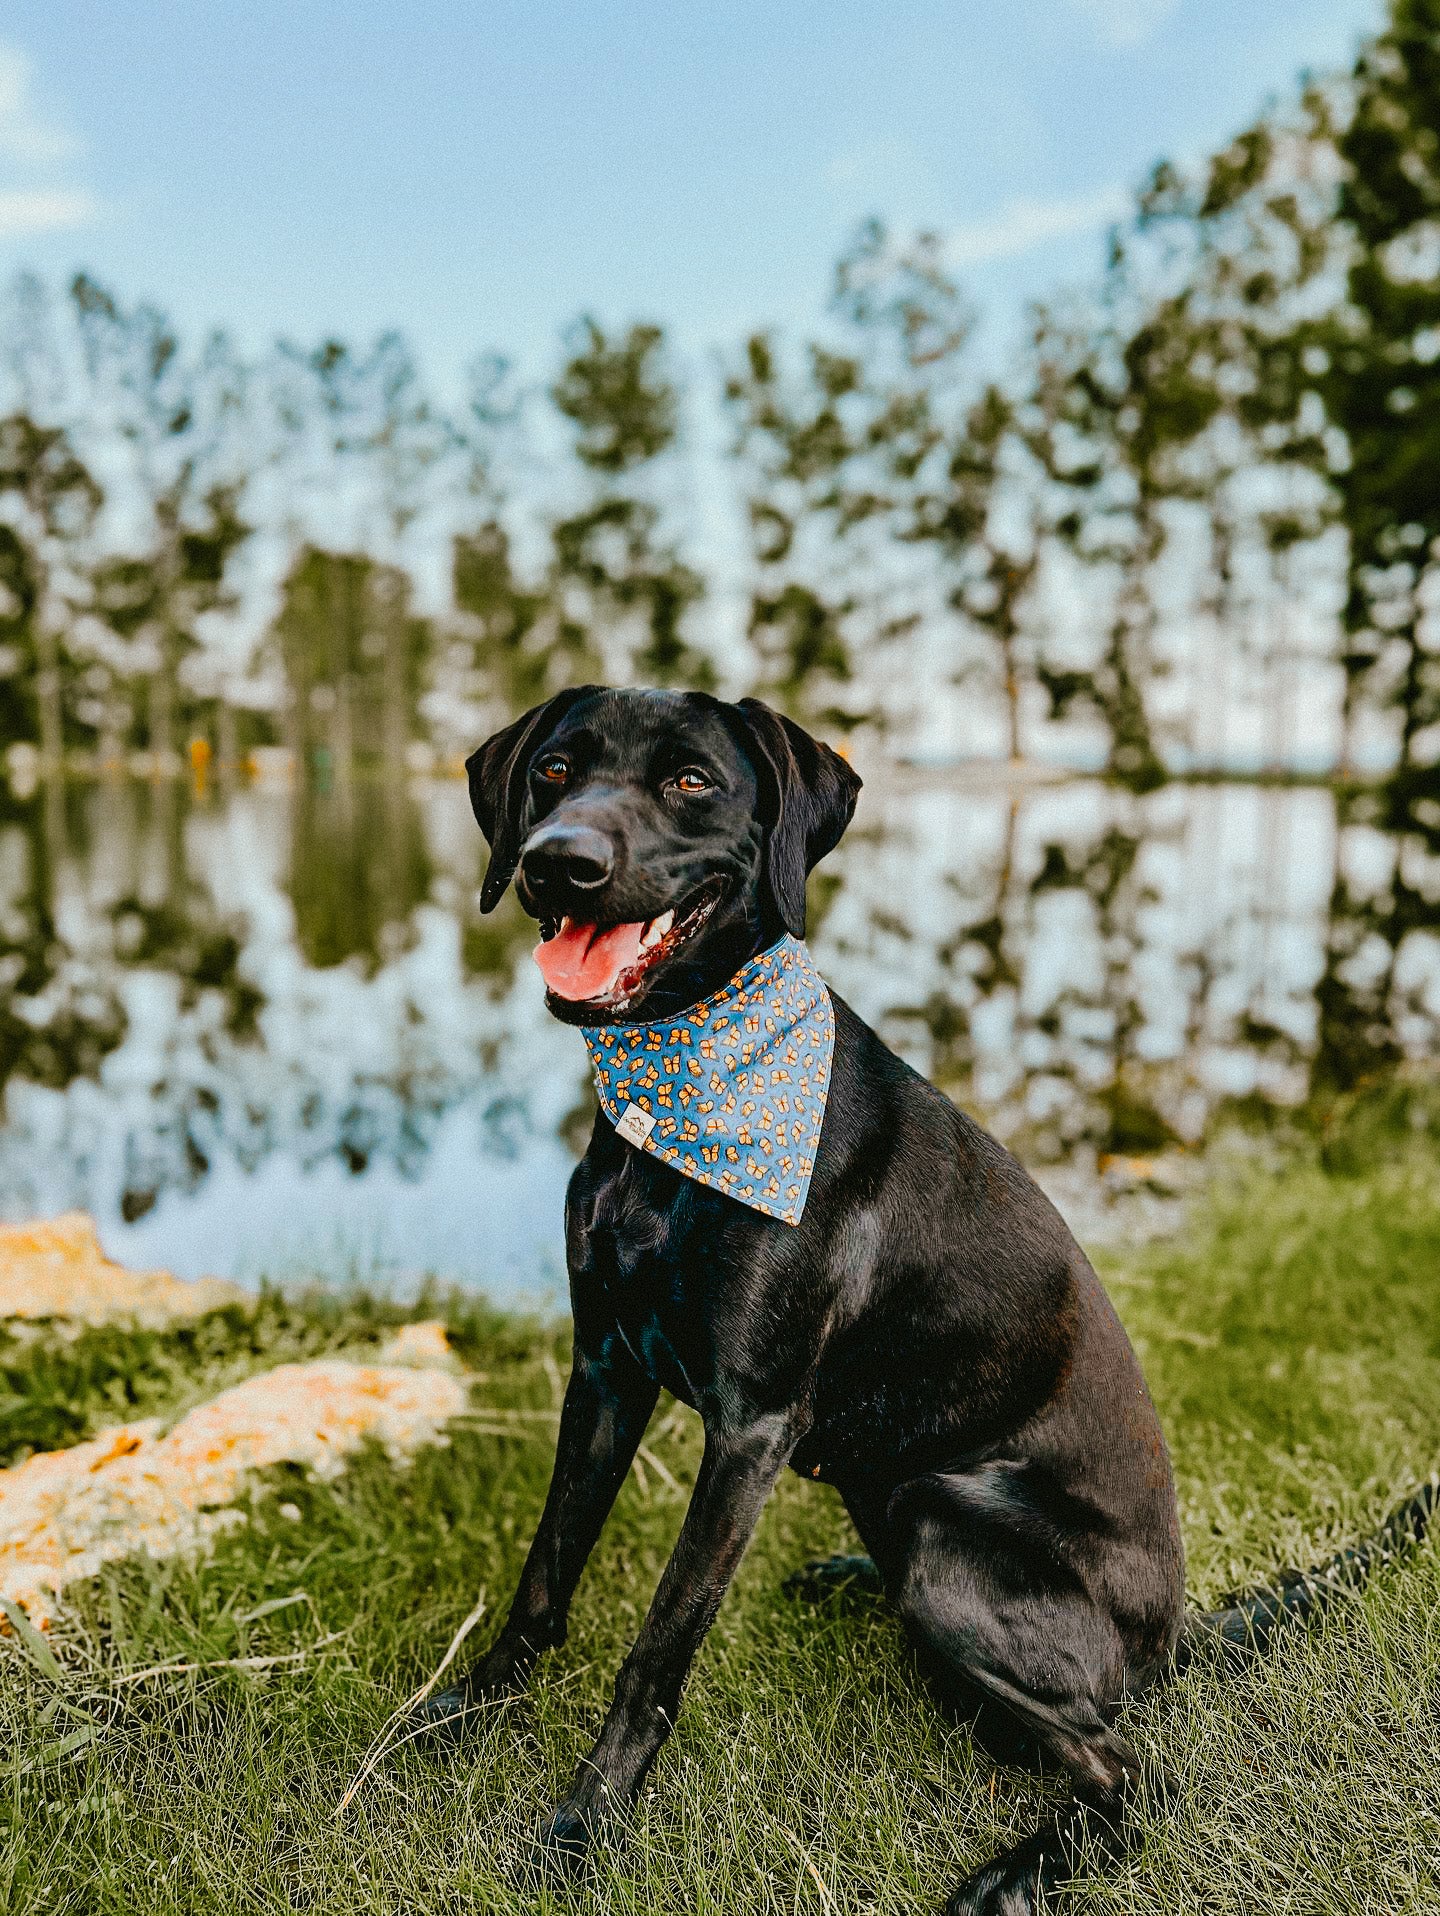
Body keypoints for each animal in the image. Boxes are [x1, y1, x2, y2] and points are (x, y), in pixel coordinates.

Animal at [415, 689, 1432, 1916]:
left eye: (692, 783)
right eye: (555, 771)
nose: (558, 861)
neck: (680, 1093)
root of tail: (1170, 1636)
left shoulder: (749, 1424)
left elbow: (656, 1648)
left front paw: (584, 1822)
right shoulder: (605, 1366)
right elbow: (545, 1570)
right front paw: (467, 1710)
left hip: (950, 1530)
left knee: (1131, 1769)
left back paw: (1017, 1869)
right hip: (890, 1485)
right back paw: (859, 1581)